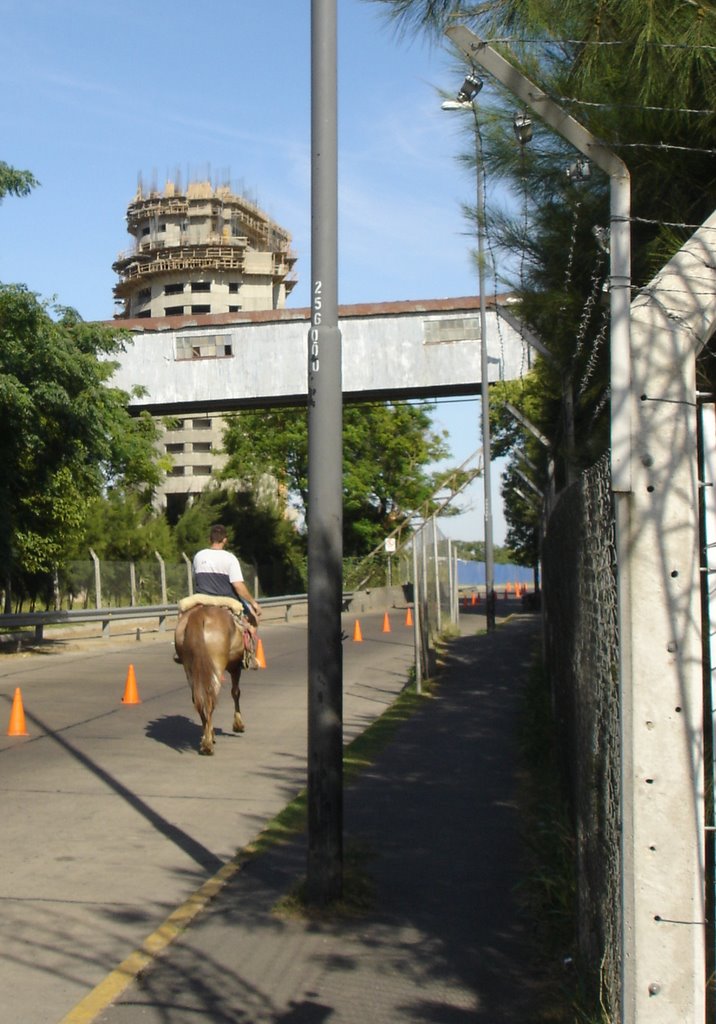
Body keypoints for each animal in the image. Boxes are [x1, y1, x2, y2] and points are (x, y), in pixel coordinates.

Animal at [174, 598, 248, 757]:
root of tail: (199, 616)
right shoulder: (235, 668)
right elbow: (236, 692)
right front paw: (238, 724)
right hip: (216, 667)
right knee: (211, 698)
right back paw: (208, 744)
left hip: (191, 668)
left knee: (199, 698)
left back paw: (207, 739)